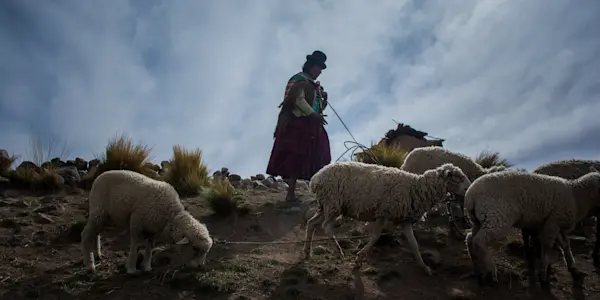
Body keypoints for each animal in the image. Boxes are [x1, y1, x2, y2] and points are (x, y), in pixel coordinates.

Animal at [81, 169, 213, 274]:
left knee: (96, 233)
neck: (170, 214)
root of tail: (99, 176)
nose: (200, 267)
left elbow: (150, 249)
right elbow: (136, 247)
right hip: (98, 209)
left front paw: (147, 267)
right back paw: (90, 265)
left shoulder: (153, 230)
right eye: (195, 248)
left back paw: (98, 255)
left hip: (105, 216)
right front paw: (131, 269)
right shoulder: (136, 223)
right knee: (86, 235)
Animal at [302, 161, 472, 276]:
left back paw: (307, 252)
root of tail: (316, 178)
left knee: (311, 223)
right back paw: (338, 250)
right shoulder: (383, 213)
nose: (469, 188)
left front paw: (424, 267)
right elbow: (376, 236)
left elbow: (414, 245)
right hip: (333, 203)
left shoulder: (404, 219)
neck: (417, 188)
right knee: (326, 226)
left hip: (326, 205)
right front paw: (359, 258)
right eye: (457, 177)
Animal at [464, 168, 600, 288]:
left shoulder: (556, 224)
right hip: (497, 217)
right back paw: (492, 271)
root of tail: (470, 195)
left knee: (470, 239)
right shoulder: (553, 222)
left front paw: (573, 268)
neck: (576, 196)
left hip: (479, 220)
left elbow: (566, 245)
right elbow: (547, 247)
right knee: (479, 240)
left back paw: (479, 270)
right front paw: (543, 276)